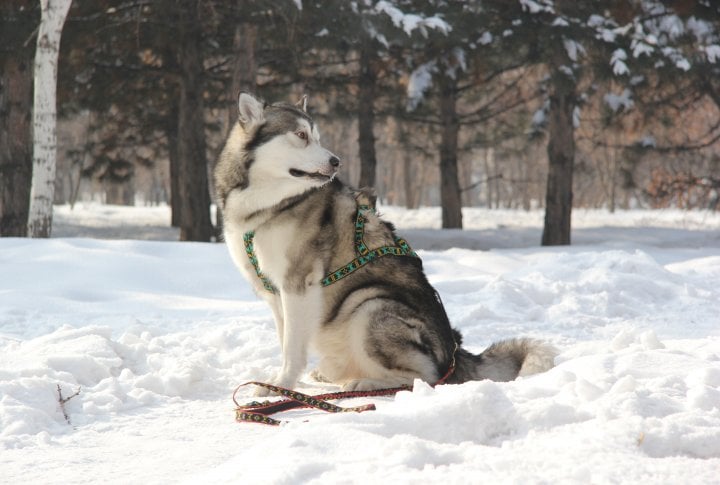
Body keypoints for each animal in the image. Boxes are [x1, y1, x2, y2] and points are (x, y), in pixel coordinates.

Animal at [215, 92, 556, 396]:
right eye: (300, 135)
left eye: (317, 137)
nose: (336, 162)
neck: (268, 206)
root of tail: (454, 354)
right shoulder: (276, 293)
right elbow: (286, 339)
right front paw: (283, 380)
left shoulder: (298, 285)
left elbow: (292, 348)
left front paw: (280, 385)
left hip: (369, 305)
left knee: (423, 377)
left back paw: (365, 383)